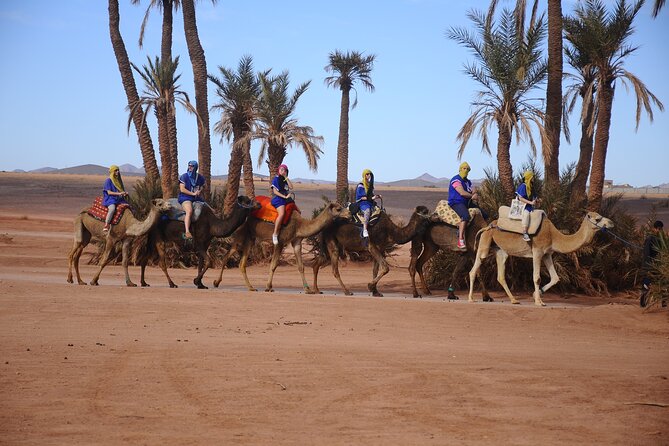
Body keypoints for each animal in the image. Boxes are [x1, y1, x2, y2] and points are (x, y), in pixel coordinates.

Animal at [212, 202, 351, 292]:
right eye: (338, 209)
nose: (349, 213)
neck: (300, 225)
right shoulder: (280, 241)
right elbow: (273, 265)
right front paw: (268, 287)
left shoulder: (296, 242)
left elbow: (301, 266)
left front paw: (307, 289)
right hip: (241, 235)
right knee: (227, 255)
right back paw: (216, 282)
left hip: (250, 238)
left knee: (242, 263)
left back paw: (251, 287)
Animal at [310, 206, 438, 297]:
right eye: (425, 211)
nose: (436, 215)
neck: (391, 231)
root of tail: (324, 227)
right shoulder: (372, 246)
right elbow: (385, 267)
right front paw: (370, 286)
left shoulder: (380, 249)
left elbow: (375, 270)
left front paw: (375, 291)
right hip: (333, 245)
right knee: (334, 270)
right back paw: (347, 291)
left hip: (328, 247)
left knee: (316, 264)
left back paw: (316, 290)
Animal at [467, 211, 614, 306]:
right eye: (597, 219)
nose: (611, 223)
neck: (553, 236)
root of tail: (488, 226)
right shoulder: (537, 252)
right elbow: (537, 277)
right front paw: (539, 301)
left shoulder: (547, 254)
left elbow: (555, 278)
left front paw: (535, 295)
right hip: (485, 243)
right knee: (474, 269)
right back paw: (471, 299)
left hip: (501, 251)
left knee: (501, 275)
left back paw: (514, 300)